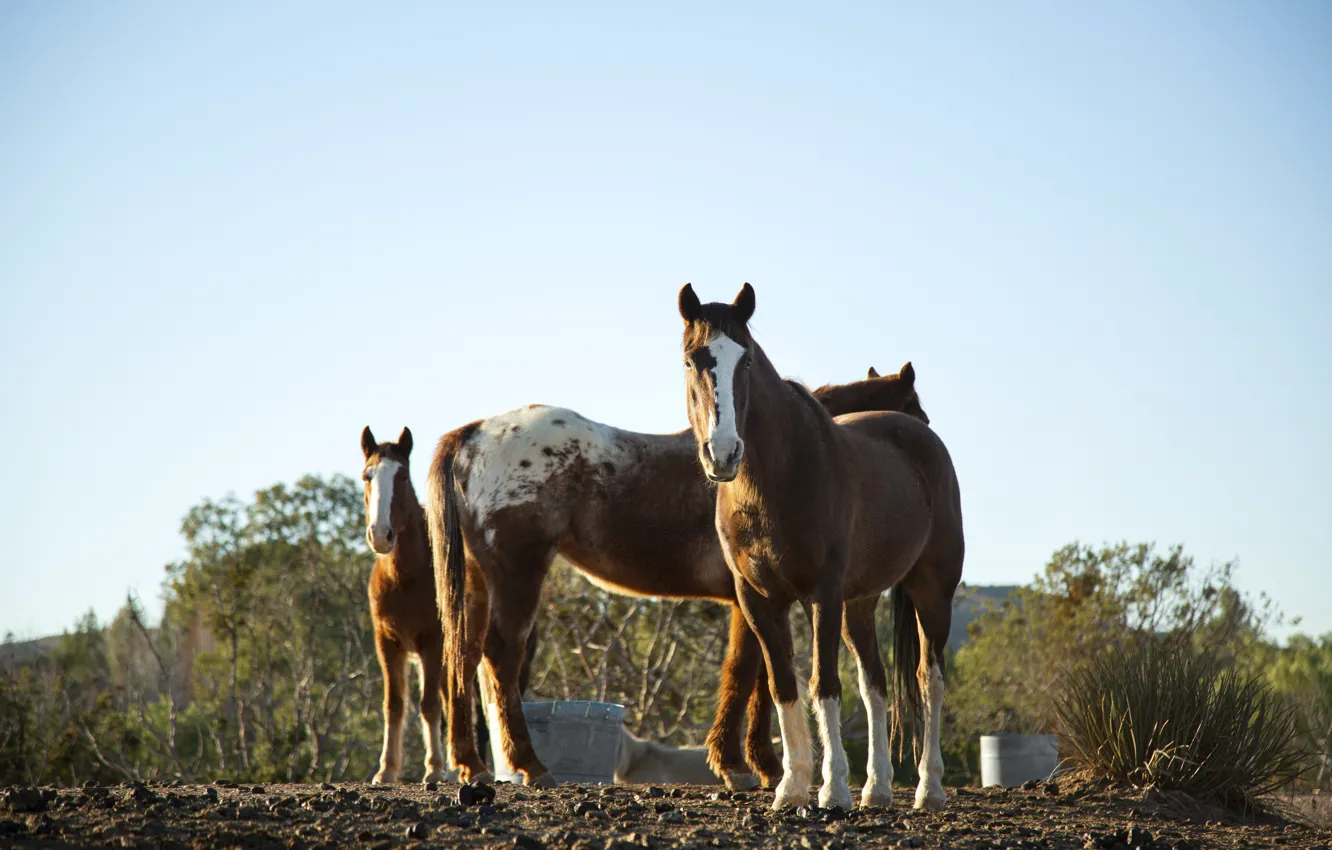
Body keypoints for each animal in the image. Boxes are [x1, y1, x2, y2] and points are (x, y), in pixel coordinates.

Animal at [360, 426, 536, 784]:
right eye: (367, 476)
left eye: (402, 476)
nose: (381, 535)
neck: (405, 577)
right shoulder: (387, 642)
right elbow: (394, 704)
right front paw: (386, 770)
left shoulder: (432, 642)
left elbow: (429, 705)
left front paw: (434, 769)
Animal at [428, 366, 929, 790]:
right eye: (917, 415)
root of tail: (473, 434)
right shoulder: (750, 600)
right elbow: (748, 672)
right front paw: (744, 767)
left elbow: (757, 676)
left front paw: (756, 765)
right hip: (517, 575)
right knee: (500, 657)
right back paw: (530, 765)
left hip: (480, 581)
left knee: (464, 655)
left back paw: (471, 765)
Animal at [676, 283, 964, 812]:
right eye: (691, 360)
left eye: (746, 360)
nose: (723, 453)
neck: (774, 482)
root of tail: (923, 440)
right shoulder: (758, 601)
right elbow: (783, 686)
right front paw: (791, 786)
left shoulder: (821, 595)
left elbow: (823, 685)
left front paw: (831, 791)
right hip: (860, 604)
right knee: (875, 685)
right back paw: (877, 789)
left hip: (932, 592)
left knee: (928, 680)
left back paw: (928, 789)